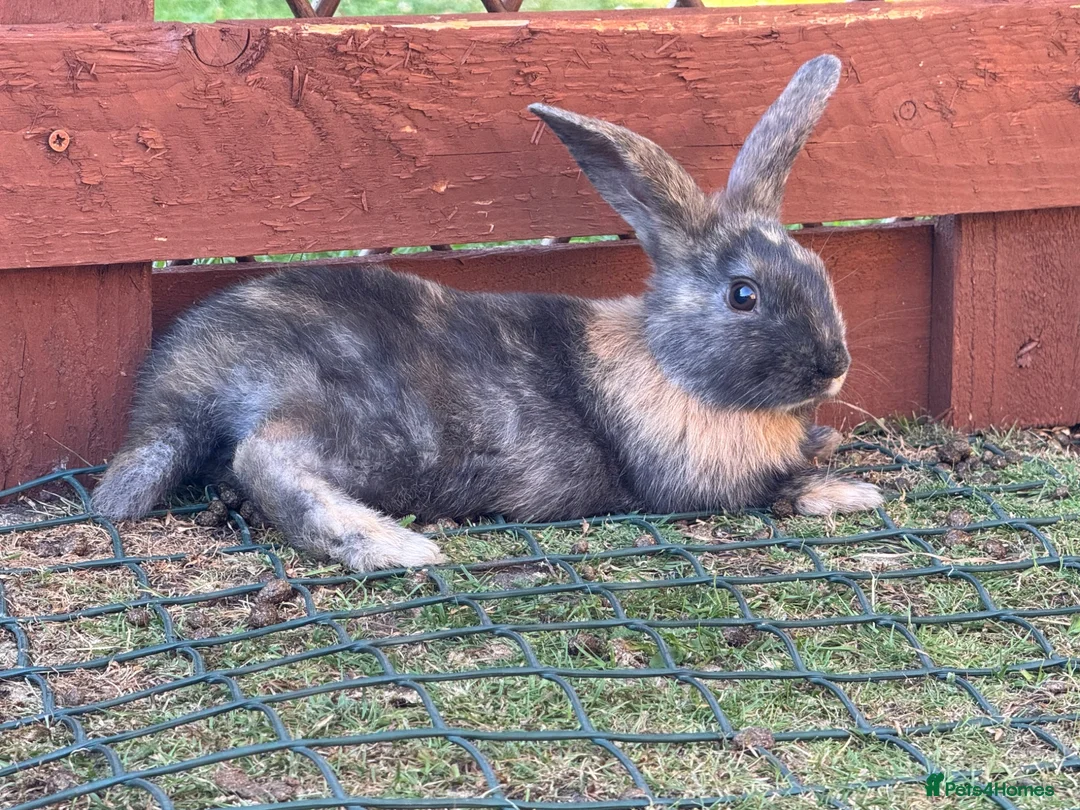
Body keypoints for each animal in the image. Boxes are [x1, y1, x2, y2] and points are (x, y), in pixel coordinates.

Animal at [92, 54, 881, 571]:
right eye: (743, 294)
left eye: (817, 271)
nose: (834, 367)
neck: (671, 365)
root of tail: (186, 378)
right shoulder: (696, 481)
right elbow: (774, 488)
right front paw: (852, 492)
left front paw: (830, 447)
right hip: (360, 427)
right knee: (264, 459)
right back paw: (395, 546)